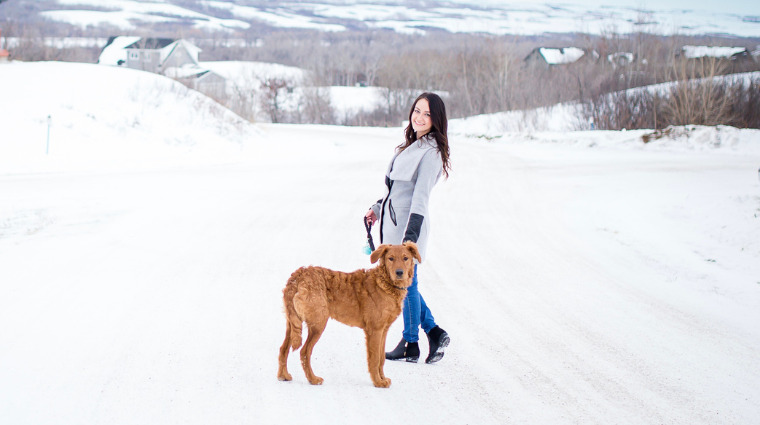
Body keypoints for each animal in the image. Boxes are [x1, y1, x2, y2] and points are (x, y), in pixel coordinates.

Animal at [276, 240, 418, 386]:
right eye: (391, 258)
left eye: (405, 258)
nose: (399, 272)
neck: (384, 283)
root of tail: (298, 275)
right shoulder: (375, 330)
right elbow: (375, 359)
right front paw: (378, 382)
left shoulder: (384, 330)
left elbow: (381, 358)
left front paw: (383, 379)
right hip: (318, 323)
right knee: (304, 351)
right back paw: (313, 379)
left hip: (292, 323)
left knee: (283, 349)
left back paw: (283, 375)